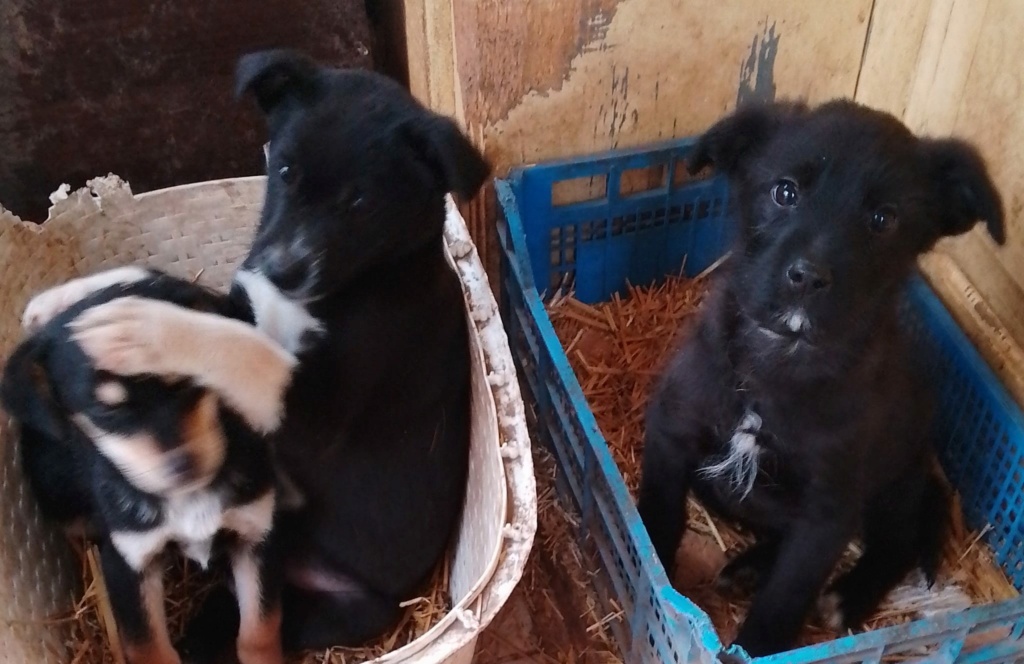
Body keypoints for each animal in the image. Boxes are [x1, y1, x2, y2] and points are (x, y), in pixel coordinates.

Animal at [22, 49, 489, 655]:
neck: (350, 285)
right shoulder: (244, 302)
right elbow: (188, 296)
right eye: (284, 171)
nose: (281, 269)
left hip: (342, 602)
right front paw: (64, 301)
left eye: (361, 203)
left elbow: (238, 348)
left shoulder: (316, 416)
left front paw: (142, 328)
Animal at [634, 100, 1003, 655]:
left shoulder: (827, 511)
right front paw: (650, 590)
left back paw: (847, 595)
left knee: (898, 540)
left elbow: (787, 595)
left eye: (883, 219)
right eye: (784, 192)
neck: (775, 368)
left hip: (894, 482)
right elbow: (656, 521)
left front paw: (753, 647)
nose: (808, 277)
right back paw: (749, 567)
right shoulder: (672, 432)